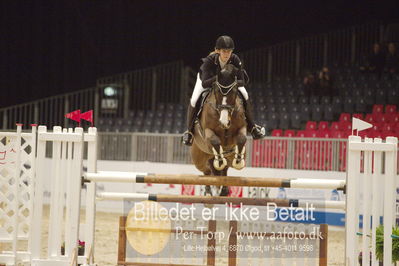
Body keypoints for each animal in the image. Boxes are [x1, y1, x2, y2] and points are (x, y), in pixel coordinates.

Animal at [190, 64, 247, 196]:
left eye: (234, 91)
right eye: (216, 91)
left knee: (223, 170)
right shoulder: (208, 131)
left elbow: (242, 138)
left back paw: (223, 190)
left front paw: (238, 161)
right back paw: (209, 190)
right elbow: (215, 141)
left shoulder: (242, 128)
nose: (224, 122)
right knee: (207, 171)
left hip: (226, 157)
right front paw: (220, 162)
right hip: (199, 159)